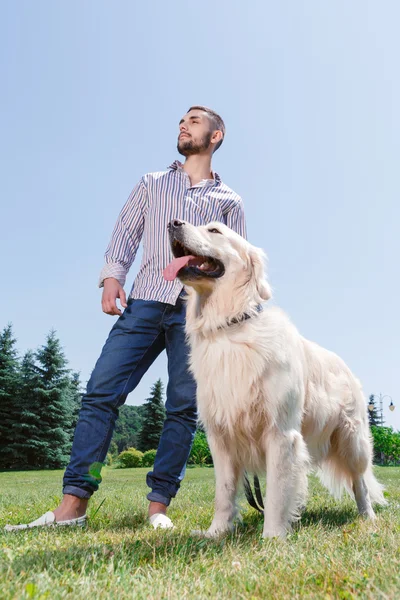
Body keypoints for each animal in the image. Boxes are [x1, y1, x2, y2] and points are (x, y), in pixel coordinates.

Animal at [163, 218, 388, 536]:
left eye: (215, 230)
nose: (173, 223)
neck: (230, 327)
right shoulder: (220, 437)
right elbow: (224, 492)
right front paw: (216, 532)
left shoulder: (280, 433)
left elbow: (277, 494)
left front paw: (272, 536)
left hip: (352, 441)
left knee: (360, 482)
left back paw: (367, 517)